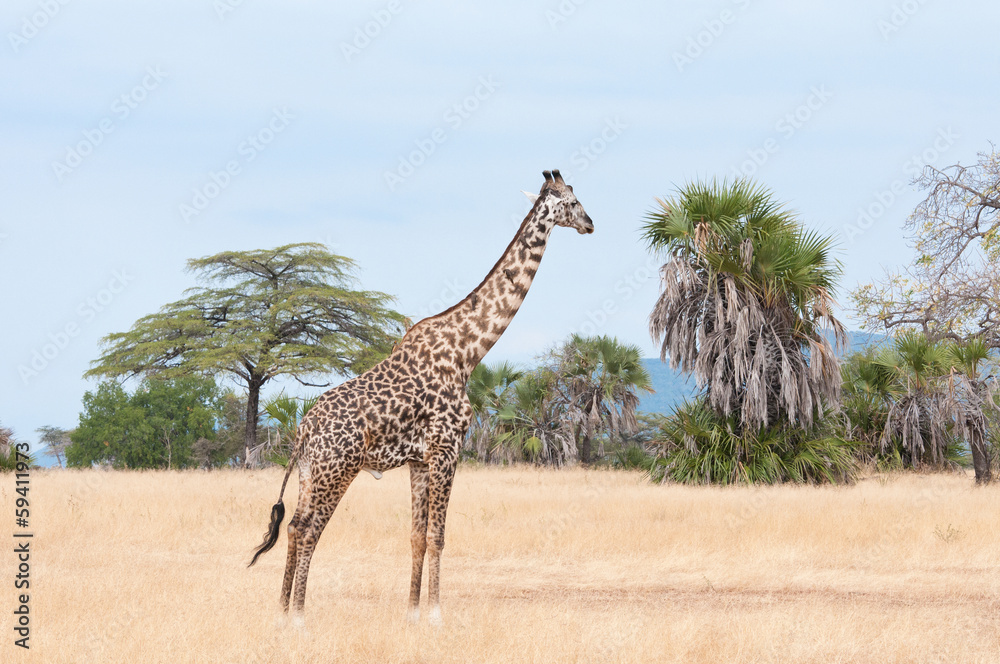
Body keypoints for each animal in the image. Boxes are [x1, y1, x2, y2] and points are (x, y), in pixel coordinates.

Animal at [248, 169, 594, 625]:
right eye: (572, 201)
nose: (591, 224)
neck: (468, 351)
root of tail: (303, 430)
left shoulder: (418, 459)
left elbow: (416, 536)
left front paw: (411, 613)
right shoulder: (448, 448)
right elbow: (439, 536)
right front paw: (435, 614)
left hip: (310, 473)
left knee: (292, 526)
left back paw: (280, 613)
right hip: (337, 470)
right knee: (309, 530)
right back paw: (300, 617)